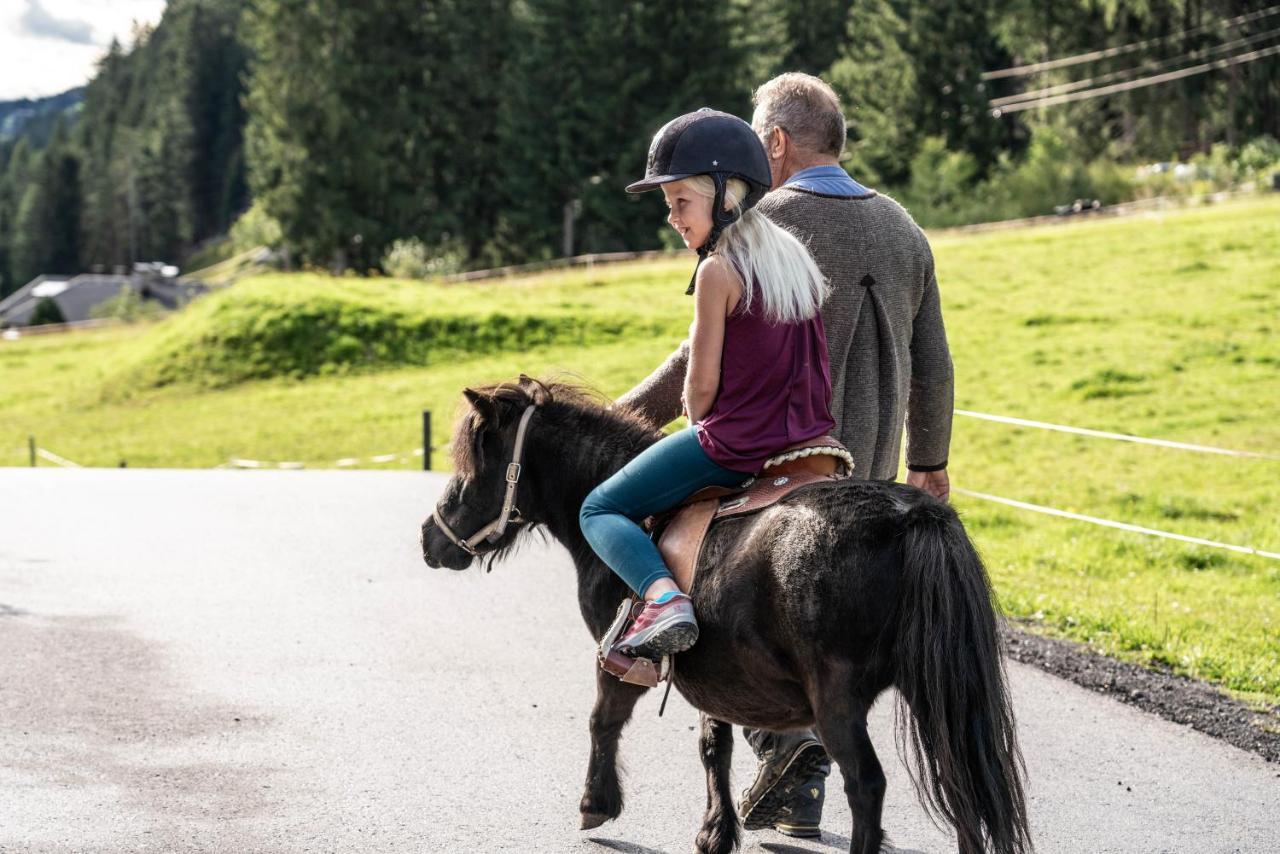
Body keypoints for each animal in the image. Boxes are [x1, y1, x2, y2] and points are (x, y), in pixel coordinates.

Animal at [419, 378, 1029, 854]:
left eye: (476, 460)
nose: (430, 536)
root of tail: (912, 514)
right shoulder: (716, 675)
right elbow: (714, 745)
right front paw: (716, 831)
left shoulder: (618, 657)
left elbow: (603, 721)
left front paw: (596, 802)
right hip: (937, 693)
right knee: (961, 779)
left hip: (838, 699)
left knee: (867, 786)